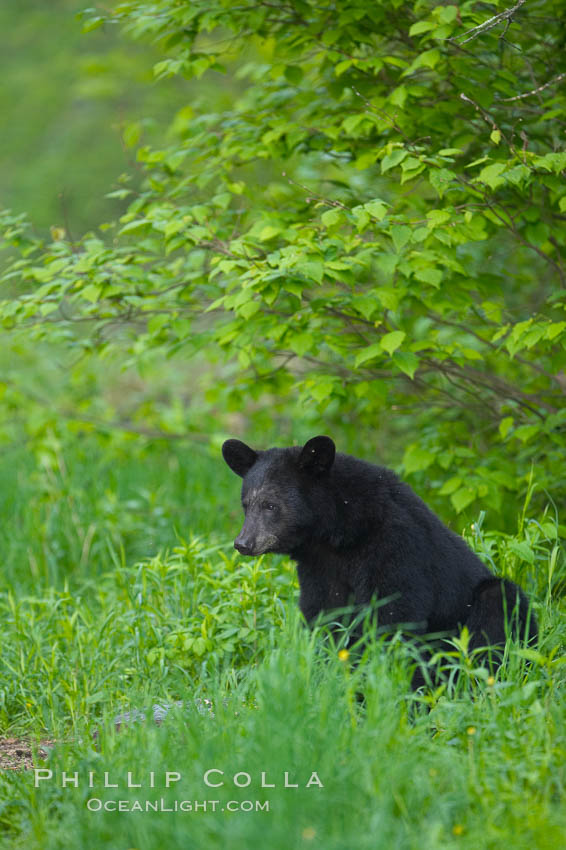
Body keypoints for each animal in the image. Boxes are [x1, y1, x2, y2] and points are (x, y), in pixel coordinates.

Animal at [223, 434, 540, 680]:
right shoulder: (319, 568)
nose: (243, 543)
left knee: (497, 607)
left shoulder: (395, 546)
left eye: (270, 505)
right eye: (246, 504)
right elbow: (325, 616)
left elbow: (394, 617)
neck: (338, 533)